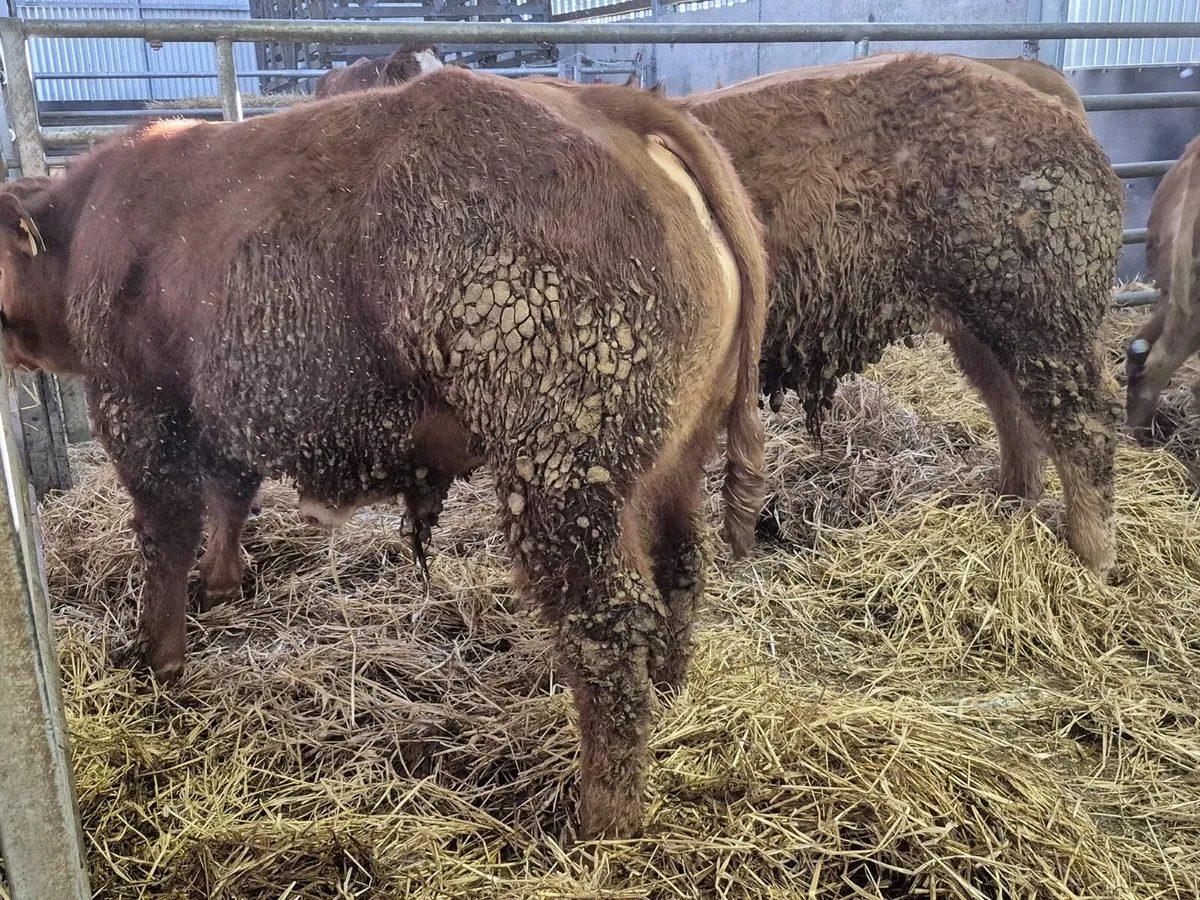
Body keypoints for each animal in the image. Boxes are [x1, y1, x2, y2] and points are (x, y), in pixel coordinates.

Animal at [0, 67, 770, 839]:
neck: (83, 224)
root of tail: (613, 107)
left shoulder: (139, 408)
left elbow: (165, 533)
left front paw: (156, 658)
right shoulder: (221, 413)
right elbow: (230, 496)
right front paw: (221, 584)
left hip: (562, 476)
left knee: (605, 626)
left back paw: (603, 818)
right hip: (673, 460)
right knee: (677, 570)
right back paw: (669, 696)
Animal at [681, 52, 1124, 575]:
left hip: (1043, 322)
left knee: (1084, 424)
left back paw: (1091, 561)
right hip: (982, 328)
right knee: (1014, 409)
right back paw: (1011, 507)